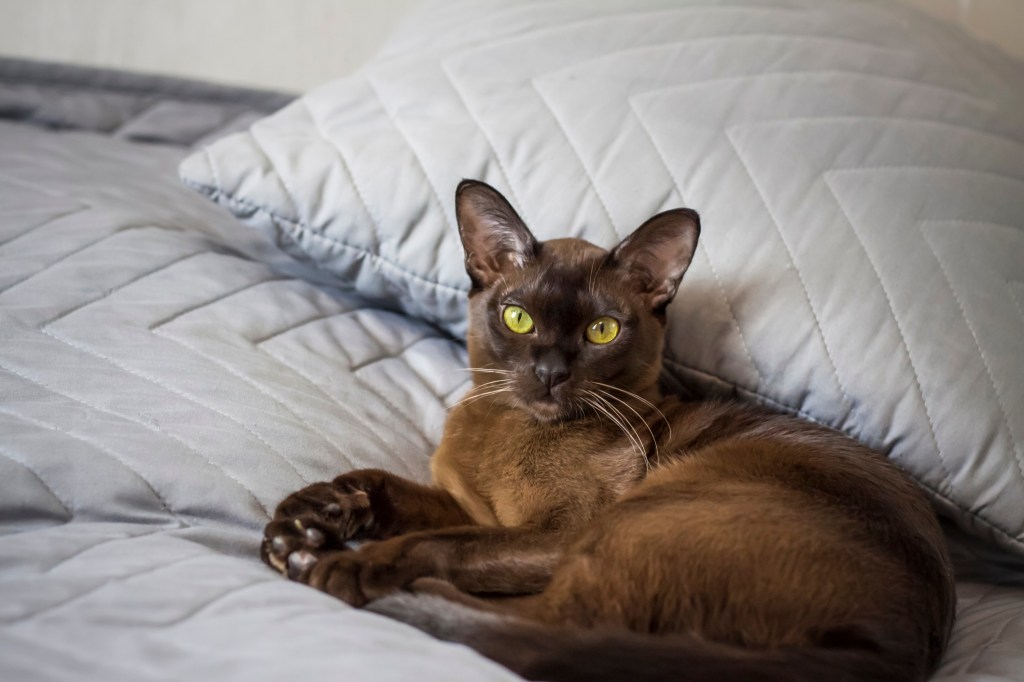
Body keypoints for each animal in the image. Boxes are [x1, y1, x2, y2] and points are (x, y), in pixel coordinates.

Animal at [262, 179, 950, 679]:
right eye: (517, 317)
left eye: (601, 331)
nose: (549, 372)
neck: (509, 432)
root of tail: (892, 649)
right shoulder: (470, 506)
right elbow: (383, 486)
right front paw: (307, 520)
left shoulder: (553, 533)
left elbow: (440, 542)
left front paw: (343, 559)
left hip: (641, 517)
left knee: (547, 629)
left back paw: (343, 576)